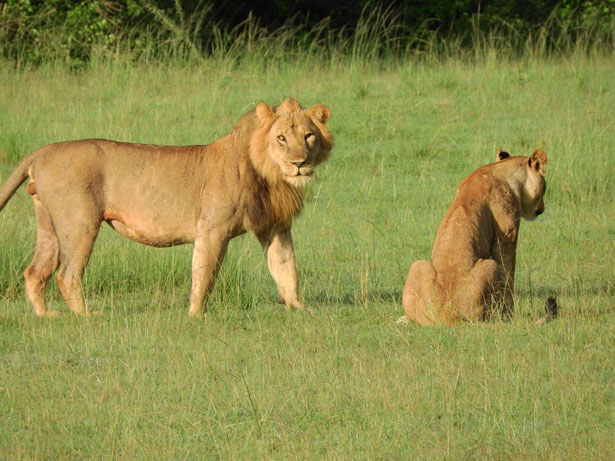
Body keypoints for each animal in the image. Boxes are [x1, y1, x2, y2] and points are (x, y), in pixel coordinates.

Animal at [0, 97, 334, 316]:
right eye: (281, 138)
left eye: (308, 136)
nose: (299, 163)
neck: (270, 174)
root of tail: (42, 150)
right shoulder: (213, 228)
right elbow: (205, 273)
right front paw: (196, 315)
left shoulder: (275, 227)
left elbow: (286, 268)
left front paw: (299, 310)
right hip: (79, 222)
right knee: (66, 274)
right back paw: (86, 317)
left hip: (50, 225)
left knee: (35, 272)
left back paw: (46, 317)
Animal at [404, 149, 548, 326]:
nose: (543, 208)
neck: (497, 170)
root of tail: (447, 316)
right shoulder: (506, 237)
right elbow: (509, 276)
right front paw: (509, 316)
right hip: (489, 266)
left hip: (417, 265)